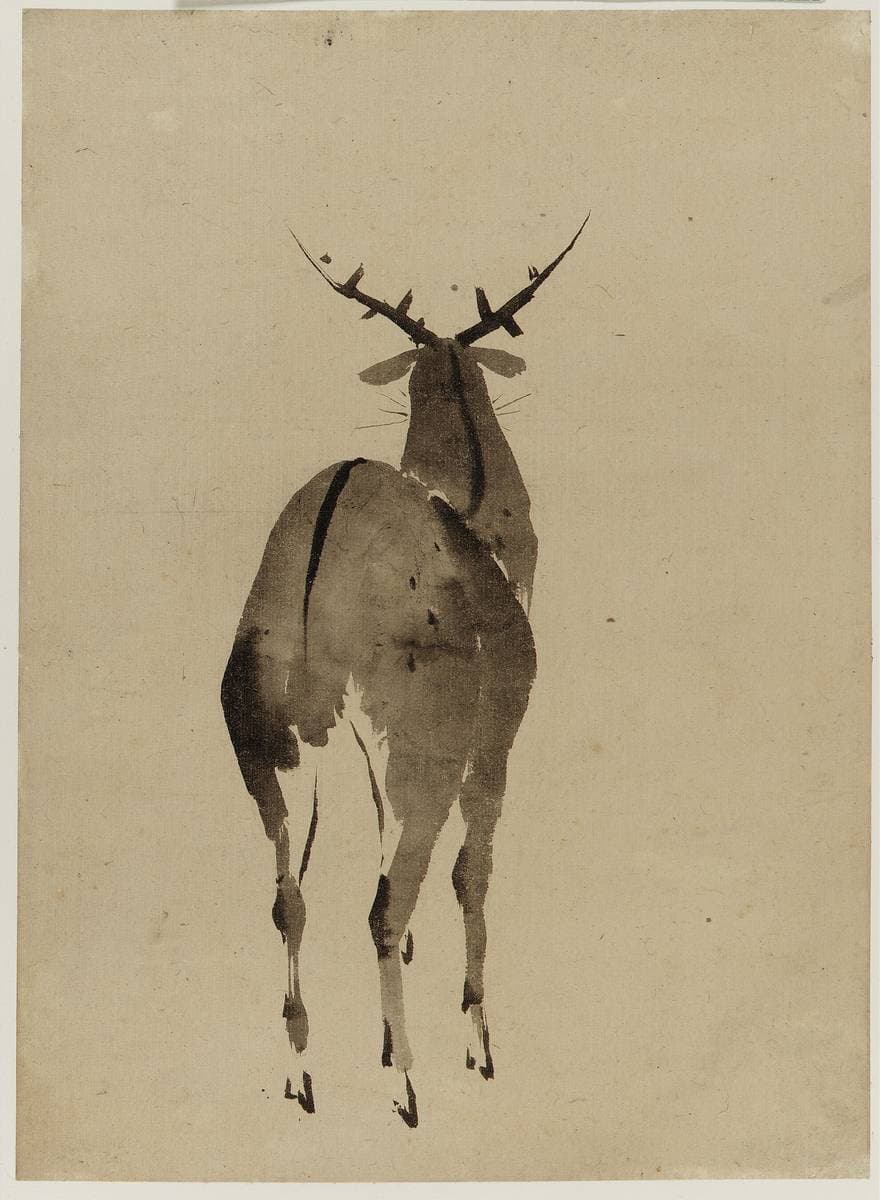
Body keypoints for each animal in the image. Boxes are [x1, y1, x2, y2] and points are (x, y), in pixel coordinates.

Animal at [220, 214, 589, 1127]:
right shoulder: (496, 738)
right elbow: (472, 874)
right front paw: (477, 1046)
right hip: (420, 744)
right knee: (387, 901)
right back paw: (408, 1087)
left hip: (264, 742)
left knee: (289, 897)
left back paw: (303, 1076)